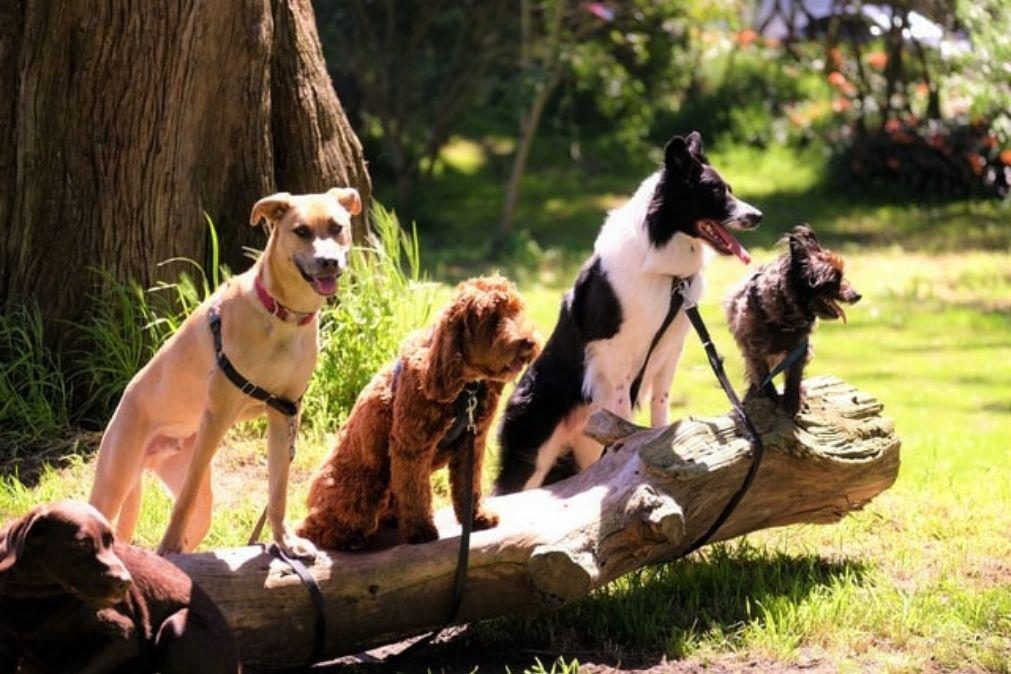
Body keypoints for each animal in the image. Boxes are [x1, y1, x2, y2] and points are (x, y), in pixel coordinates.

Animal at [88, 186, 361, 557]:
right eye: (301, 231)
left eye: (336, 227)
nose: (328, 262)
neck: (281, 315)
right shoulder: (217, 416)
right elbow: (183, 502)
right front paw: (167, 546)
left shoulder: (285, 412)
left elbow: (278, 490)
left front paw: (284, 541)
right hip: (114, 481)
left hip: (199, 503)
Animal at [297, 274, 541, 549]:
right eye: (491, 318)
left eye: (517, 310)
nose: (529, 341)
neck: (465, 388)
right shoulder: (412, 446)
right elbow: (415, 492)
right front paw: (420, 530)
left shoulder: (473, 442)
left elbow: (469, 486)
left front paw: (477, 517)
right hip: (364, 489)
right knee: (314, 528)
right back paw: (348, 539)